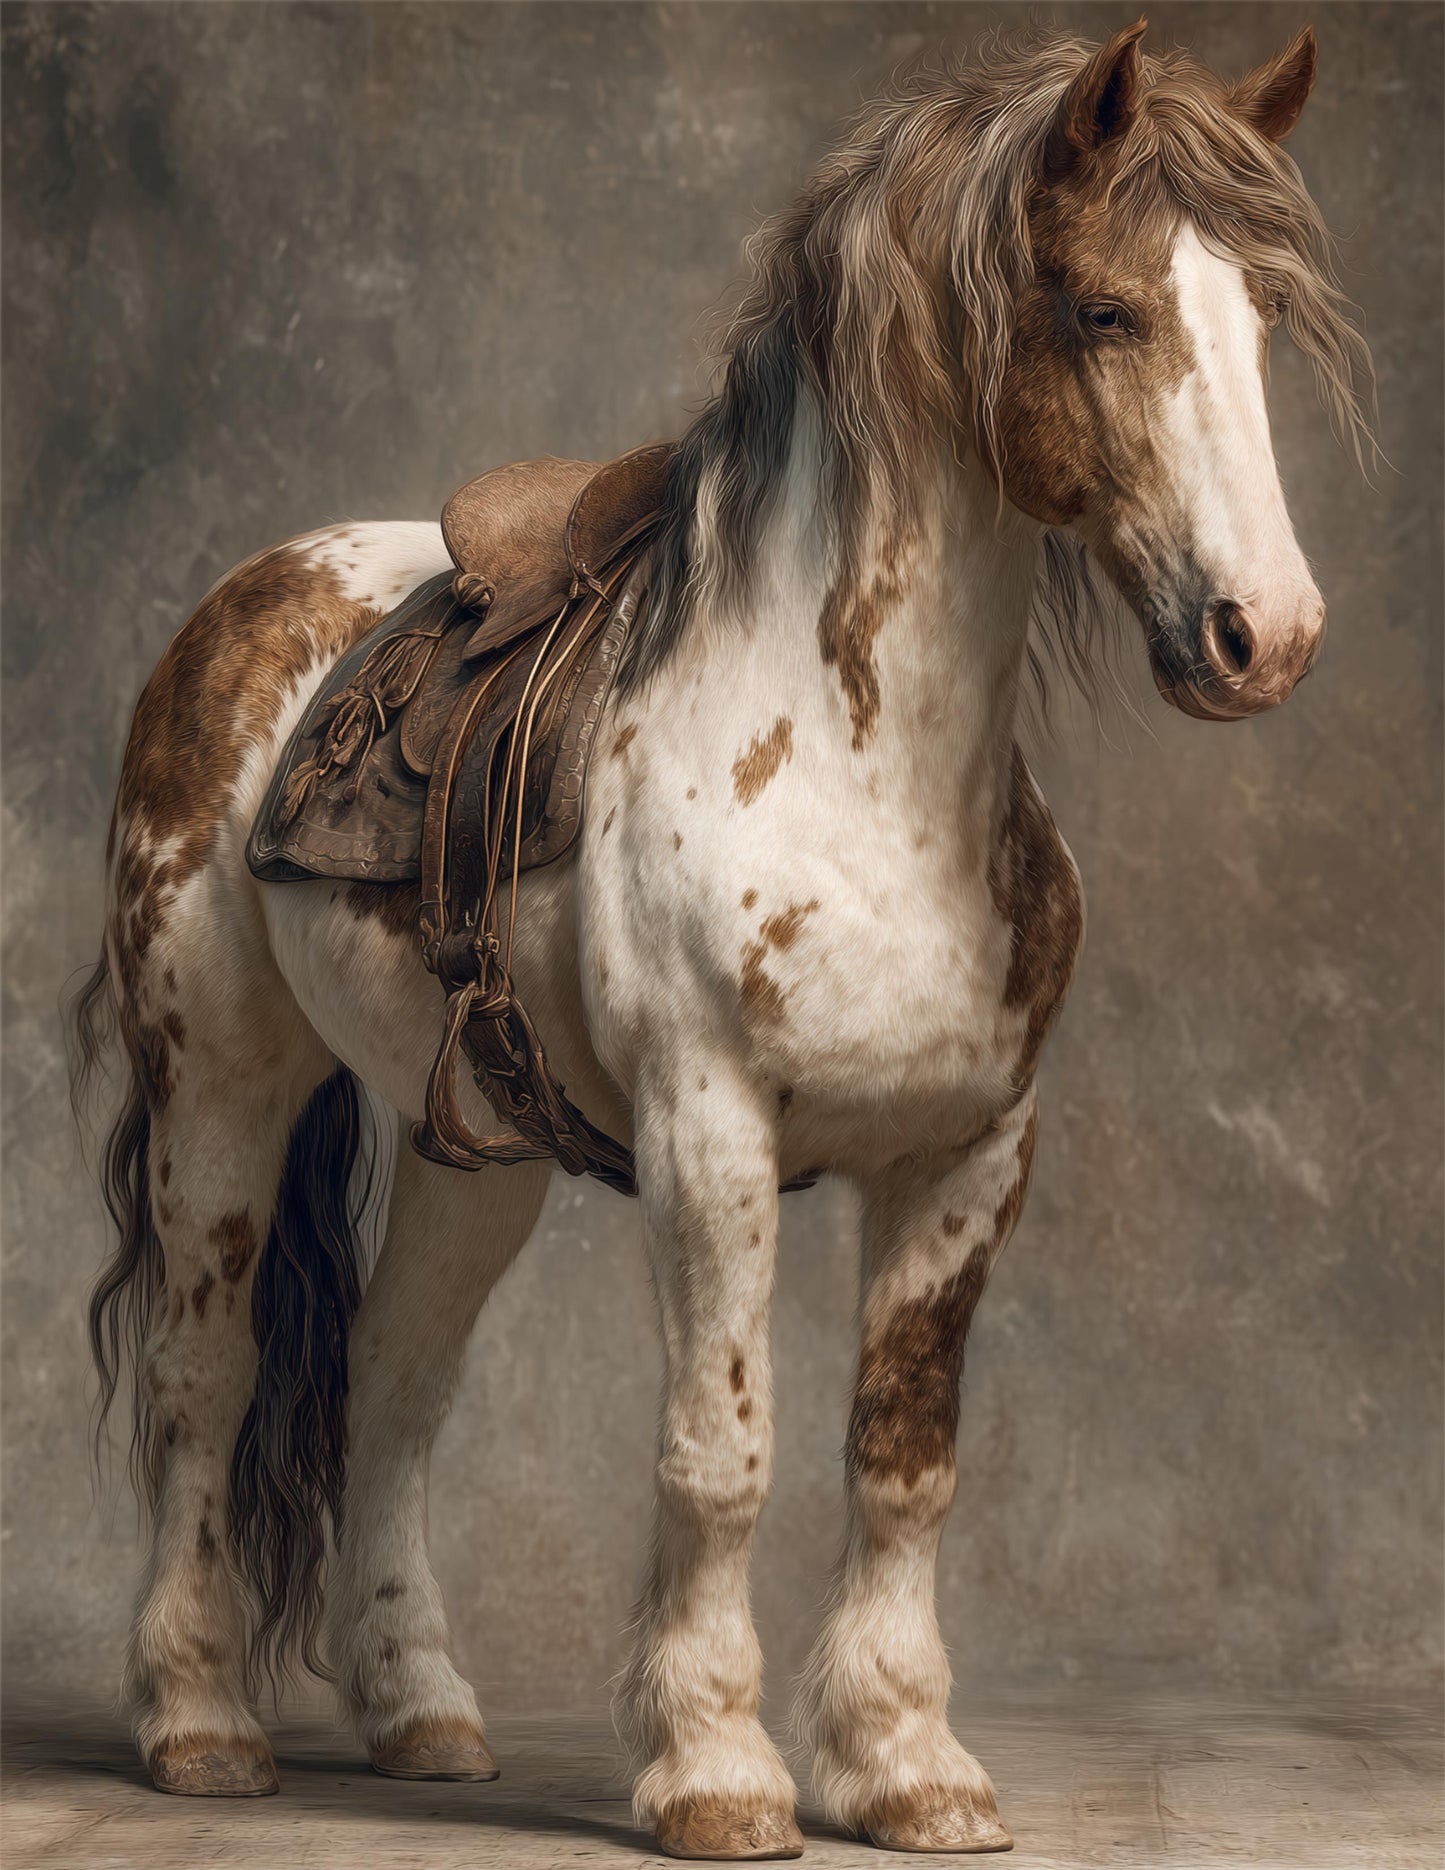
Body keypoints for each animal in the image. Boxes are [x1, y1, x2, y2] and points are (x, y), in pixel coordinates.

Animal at [72, 20, 1370, 1859]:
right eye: (1104, 310)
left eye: (1259, 315)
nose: (1268, 635)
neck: (855, 757)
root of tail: (248, 598)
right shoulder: (711, 1139)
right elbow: (719, 1452)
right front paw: (718, 1767)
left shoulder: (974, 1154)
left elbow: (903, 1457)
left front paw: (908, 1763)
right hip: (221, 1095)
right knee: (209, 1369)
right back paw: (196, 1724)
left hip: (472, 1150)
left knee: (393, 1379)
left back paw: (421, 1710)